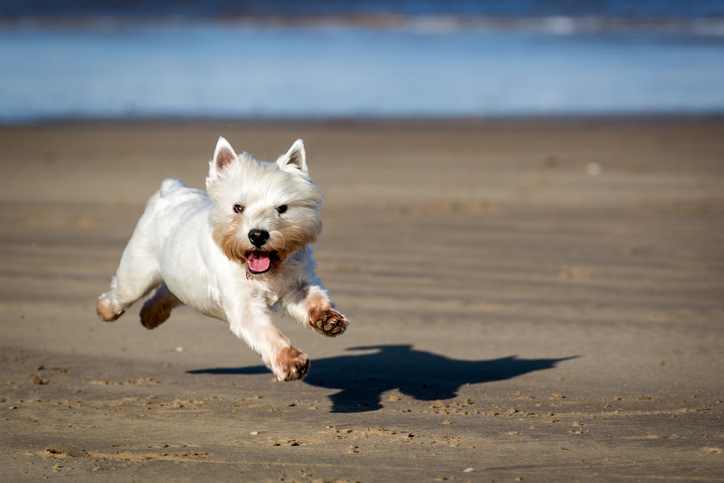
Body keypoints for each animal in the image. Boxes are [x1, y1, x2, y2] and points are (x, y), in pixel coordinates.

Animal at [97, 136, 350, 382]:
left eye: (282, 208)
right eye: (238, 207)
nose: (257, 235)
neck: (266, 272)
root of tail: (171, 191)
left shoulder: (297, 285)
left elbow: (314, 298)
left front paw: (328, 319)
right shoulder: (244, 305)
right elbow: (268, 333)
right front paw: (290, 361)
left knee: (167, 292)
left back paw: (151, 315)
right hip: (137, 274)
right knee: (121, 294)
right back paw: (106, 310)